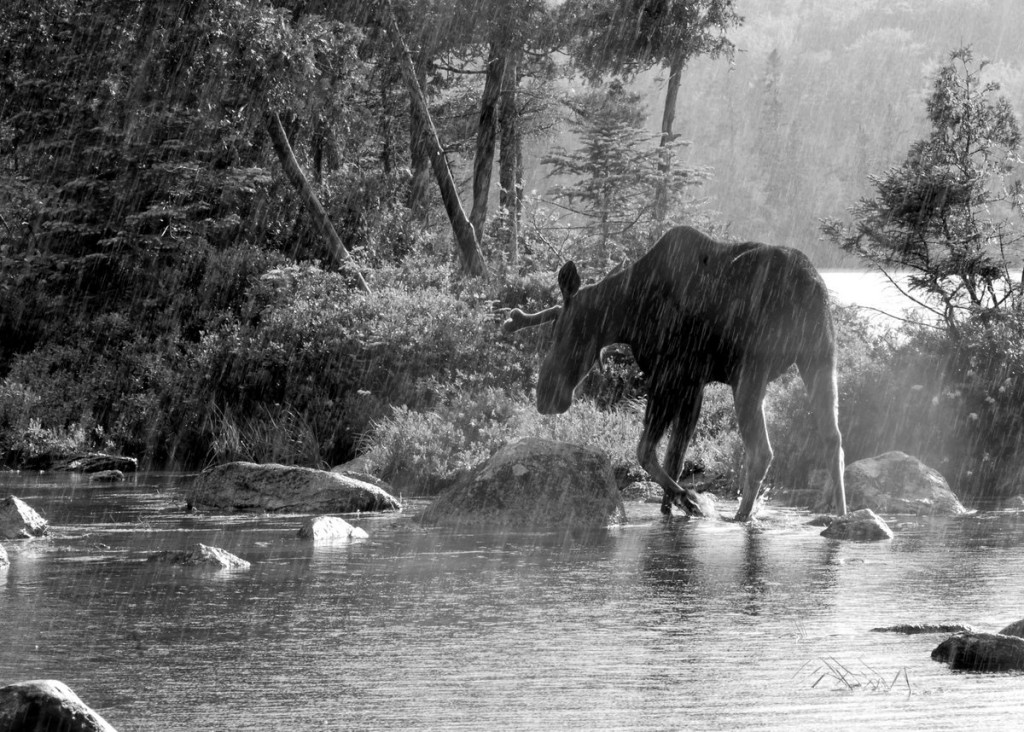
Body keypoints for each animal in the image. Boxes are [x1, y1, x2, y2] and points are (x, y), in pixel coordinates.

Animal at [503, 225, 847, 522]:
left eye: (562, 332)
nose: (545, 397)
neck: (628, 312)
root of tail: (810, 287)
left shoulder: (669, 374)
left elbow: (645, 452)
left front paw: (689, 500)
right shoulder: (694, 384)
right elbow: (675, 457)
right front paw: (670, 509)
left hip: (751, 370)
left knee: (761, 451)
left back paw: (741, 517)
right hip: (821, 357)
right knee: (833, 438)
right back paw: (840, 512)